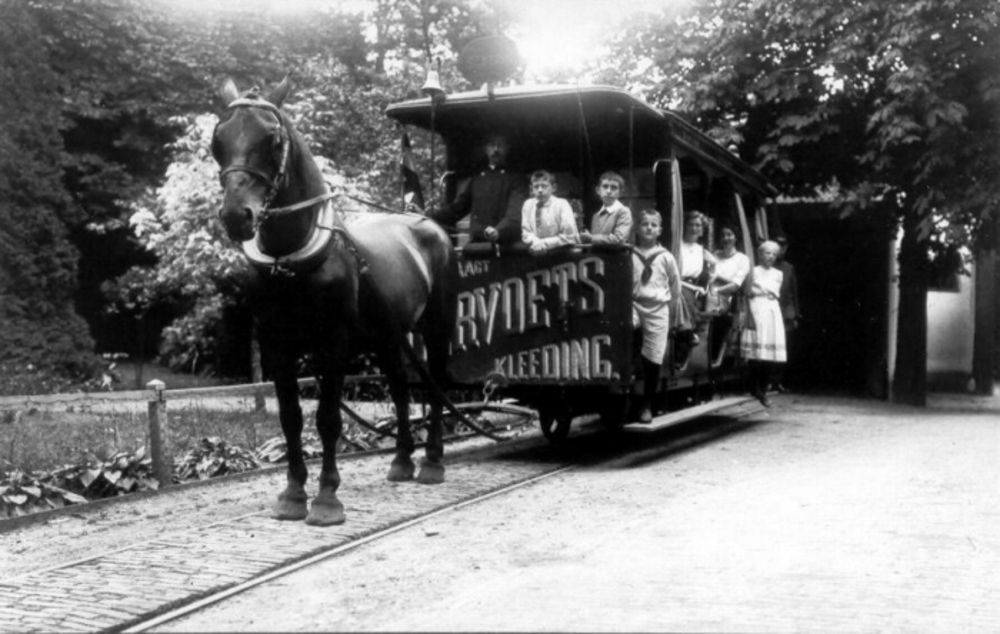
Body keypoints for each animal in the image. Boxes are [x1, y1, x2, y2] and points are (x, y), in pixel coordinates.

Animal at [211, 76, 458, 526]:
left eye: (273, 139)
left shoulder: (334, 343)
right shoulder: (276, 345)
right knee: (401, 390)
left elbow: (327, 419)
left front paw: (327, 499)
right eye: (218, 139)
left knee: (435, 389)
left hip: (436, 328)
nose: (237, 215)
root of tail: (426, 220)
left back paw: (432, 461)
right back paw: (401, 460)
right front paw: (293, 494)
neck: (289, 259)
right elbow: (291, 418)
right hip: (388, 338)